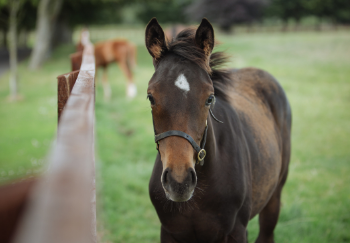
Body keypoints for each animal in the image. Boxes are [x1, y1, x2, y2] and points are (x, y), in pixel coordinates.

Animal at [145, 17, 292, 243]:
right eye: (150, 97)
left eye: (209, 98)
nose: (179, 182)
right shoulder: (169, 232)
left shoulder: (236, 231)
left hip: (274, 196)